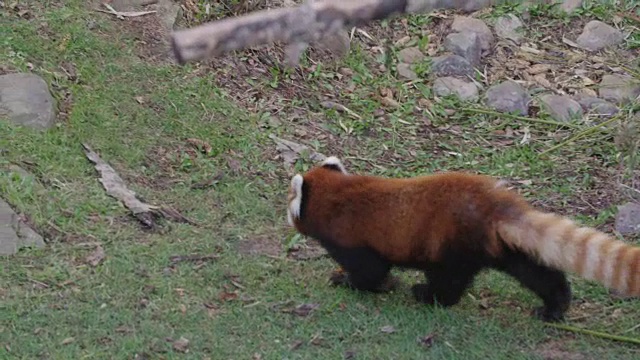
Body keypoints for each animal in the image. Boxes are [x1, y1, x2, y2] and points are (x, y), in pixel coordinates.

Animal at [286, 156, 640, 322]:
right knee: (533, 271)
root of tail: (493, 203)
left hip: (452, 244)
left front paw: (351, 281)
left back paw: (427, 295)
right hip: (498, 245)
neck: (340, 195)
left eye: (289, 201)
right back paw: (555, 306)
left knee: (449, 280)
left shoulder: (353, 240)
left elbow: (370, 271)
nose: (284, 212)